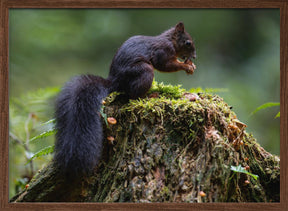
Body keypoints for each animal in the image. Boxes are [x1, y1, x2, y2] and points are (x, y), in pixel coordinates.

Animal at [54, 22, 197, 176]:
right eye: (188, 43)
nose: (194, 57)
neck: (170, 41)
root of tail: (115, 82)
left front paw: (190, 65)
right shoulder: (162, 52)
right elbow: (165, 65)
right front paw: (186, 66)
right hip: (144, 71)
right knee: (133, 96)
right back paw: (150, 95)